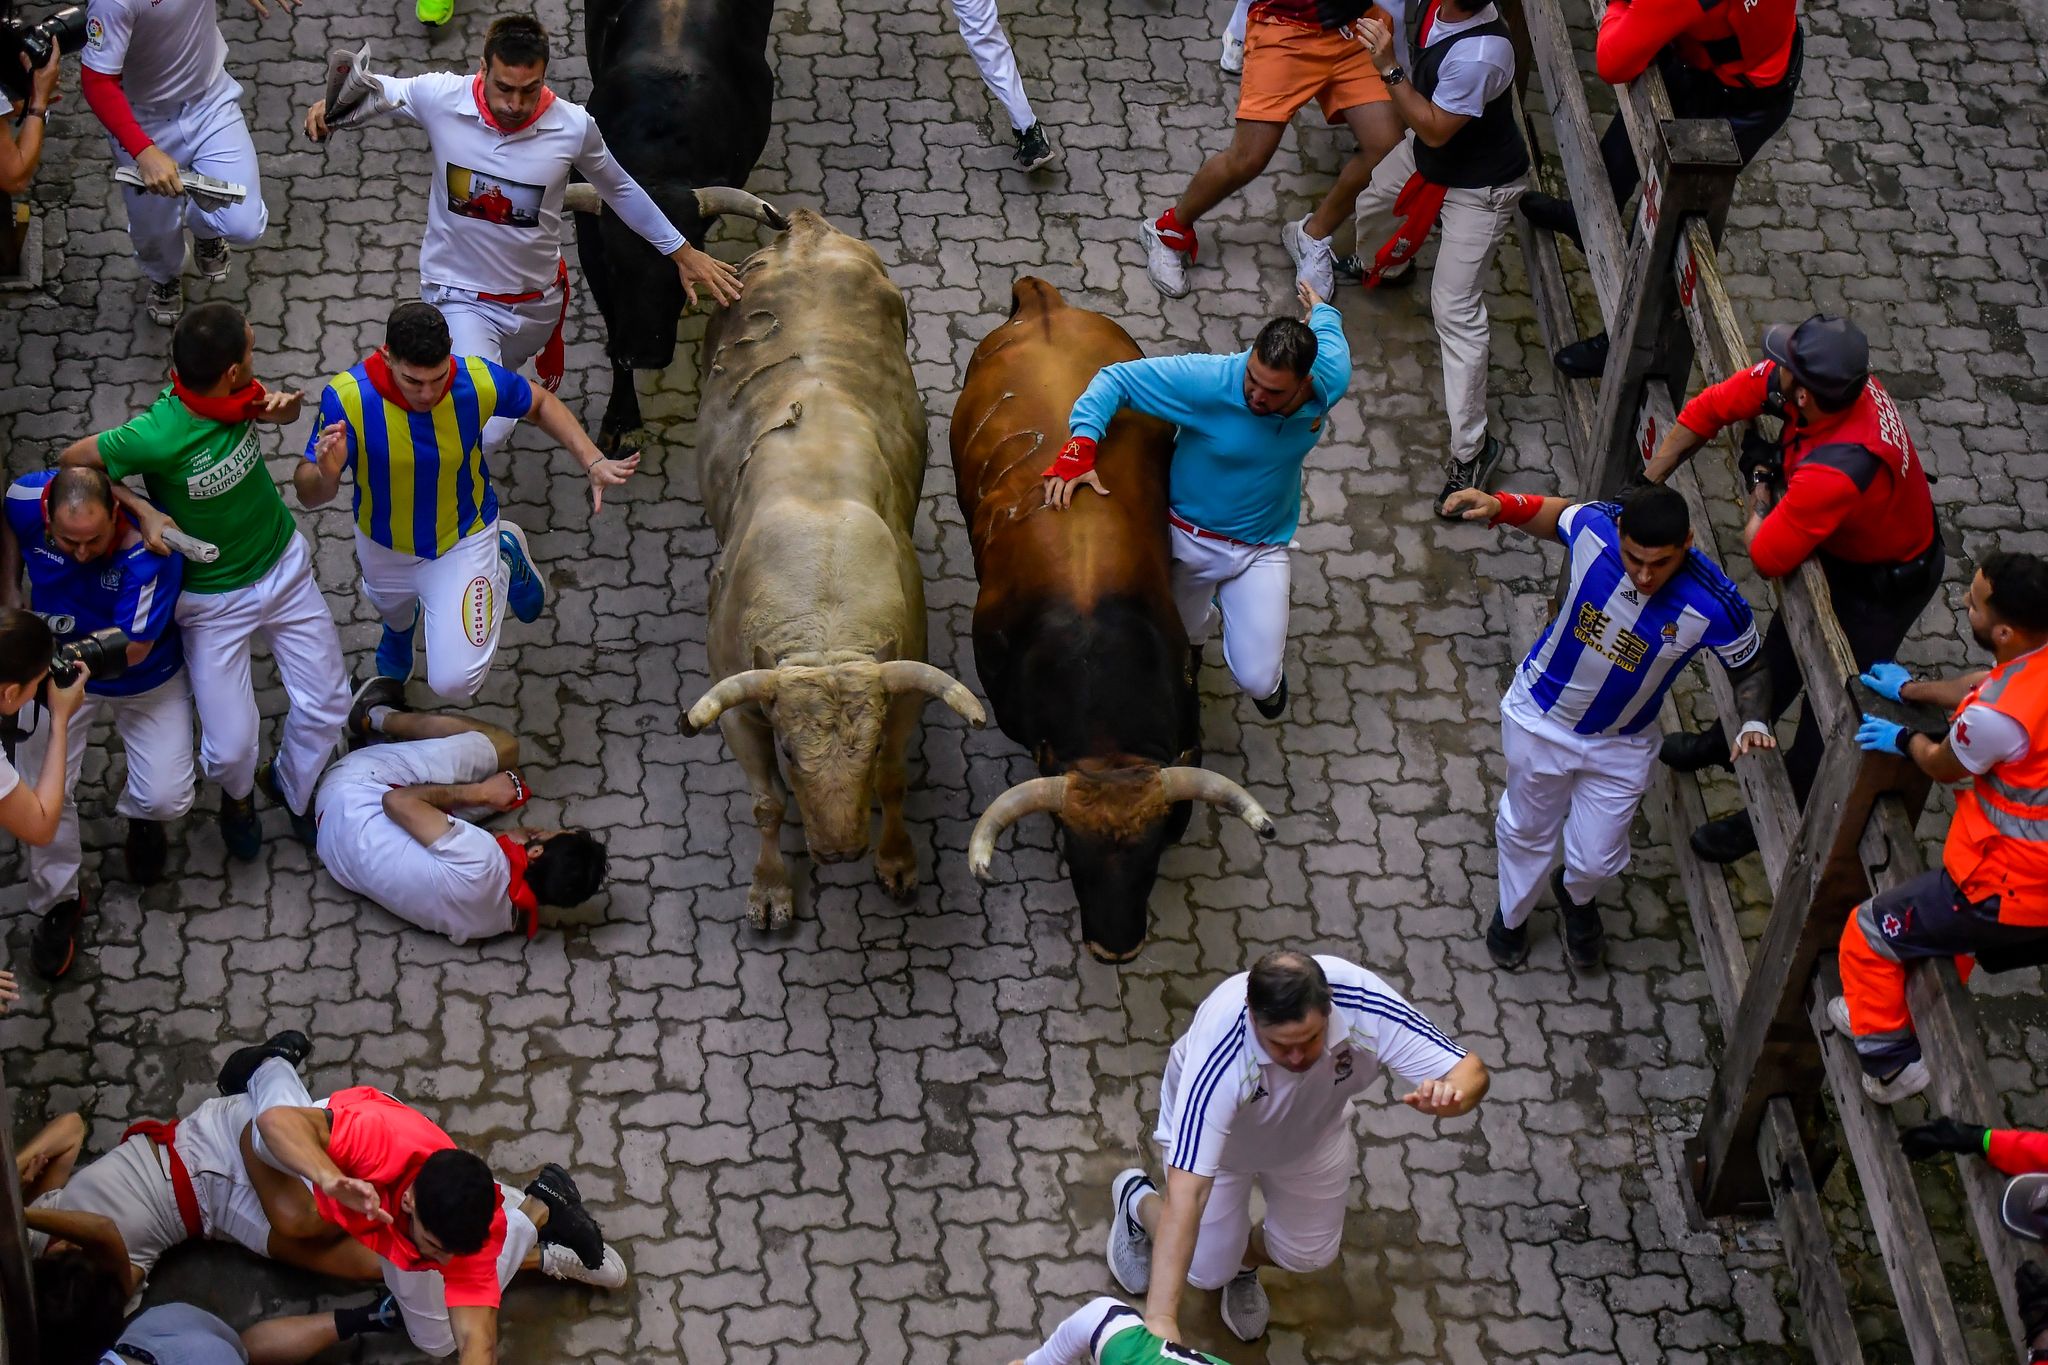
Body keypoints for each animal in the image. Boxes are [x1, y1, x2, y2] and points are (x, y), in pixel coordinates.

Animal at [679, 210, 983, 929]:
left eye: (865, 750)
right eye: (790, 751)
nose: (842, 848)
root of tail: (805, 229)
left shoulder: (902, 693)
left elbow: (896, 780)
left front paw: (896, 857)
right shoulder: (738, 709)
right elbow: (766, 803)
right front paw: (771, 885)